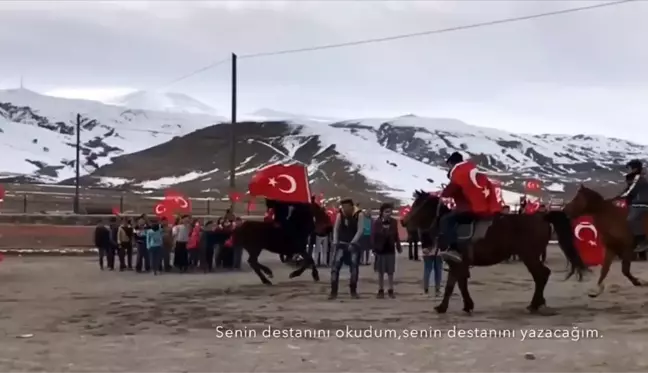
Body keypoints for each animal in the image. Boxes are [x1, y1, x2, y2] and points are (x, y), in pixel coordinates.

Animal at [400, 190, 588, 316]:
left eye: (418, 205)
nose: (403, 222)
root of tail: (542, 217)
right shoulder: (459, 263)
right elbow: (458, 284)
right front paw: (464, 305)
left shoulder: (456, 262)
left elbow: (452, 286)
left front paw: (445, 307)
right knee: (542, 275)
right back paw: (539, 302)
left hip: (529, 256)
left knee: (541, 275)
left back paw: (534, 304)